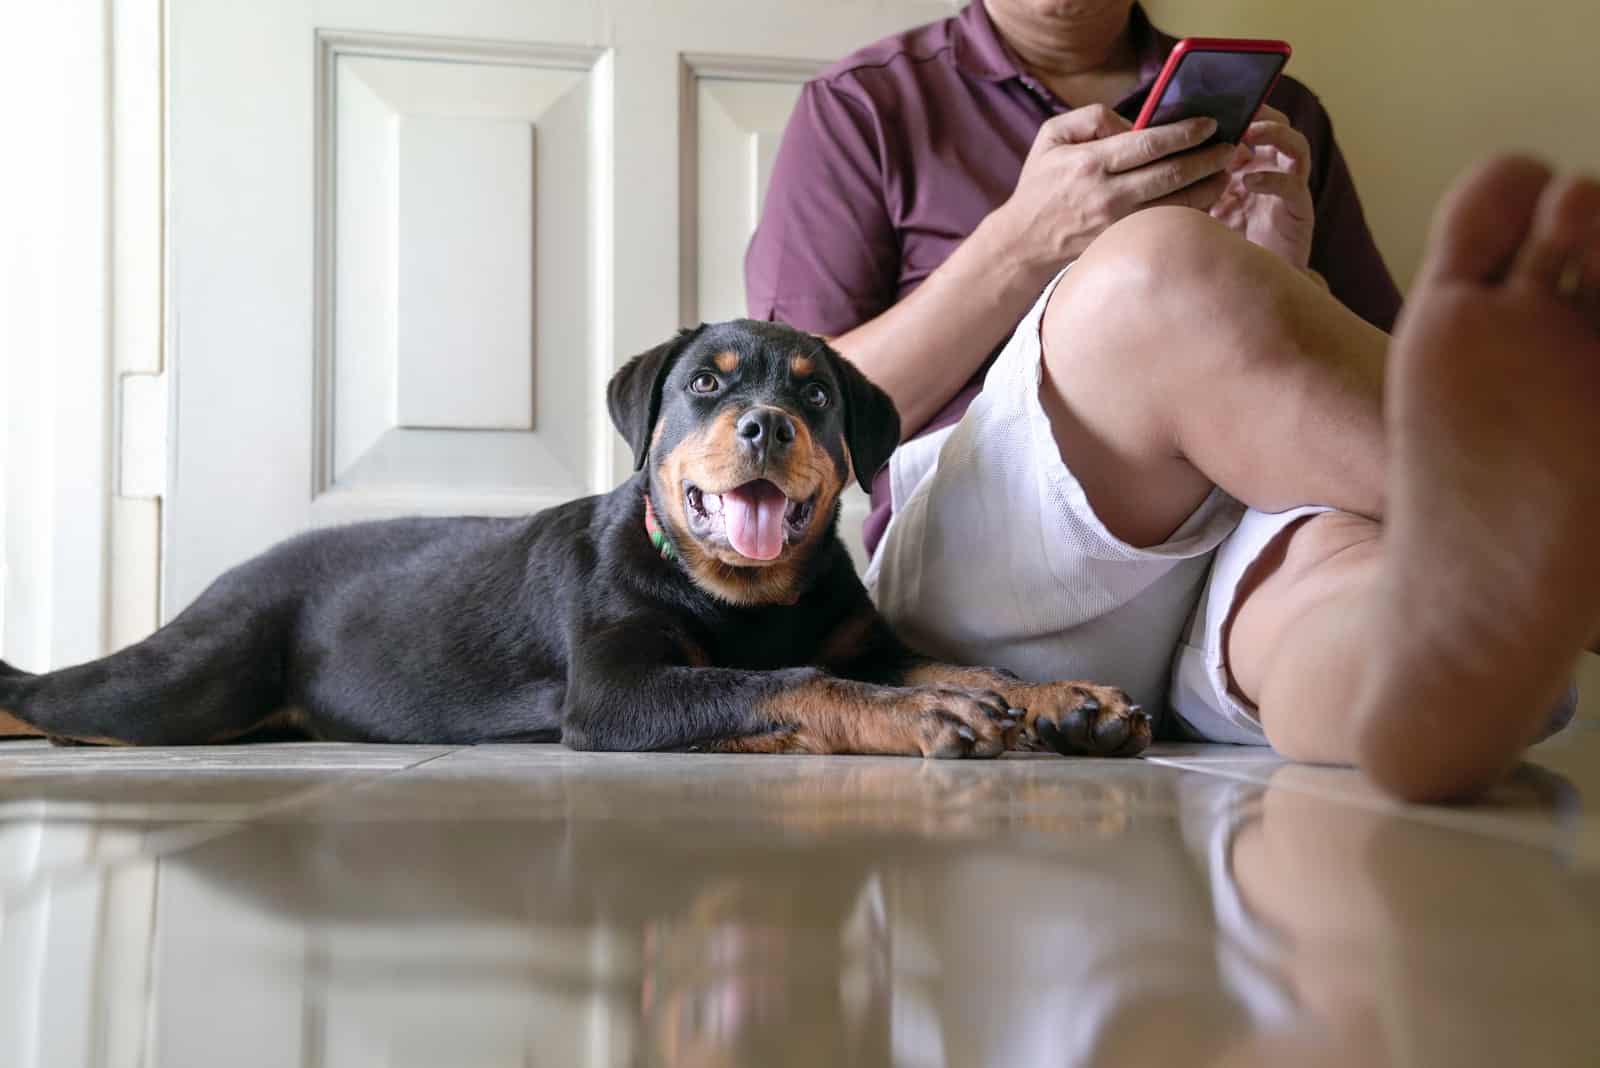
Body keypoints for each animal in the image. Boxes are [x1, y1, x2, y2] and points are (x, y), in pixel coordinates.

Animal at [0, 321, 1152, 754]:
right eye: (705, 386)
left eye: (818, 396)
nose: (765, 425)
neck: (742, 594)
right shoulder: (614, 690)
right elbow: (786, 682)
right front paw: (923, 717)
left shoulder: (860, 637)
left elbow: (943, 658)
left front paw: (1061, 699)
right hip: (190, 679)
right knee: (55, 697)